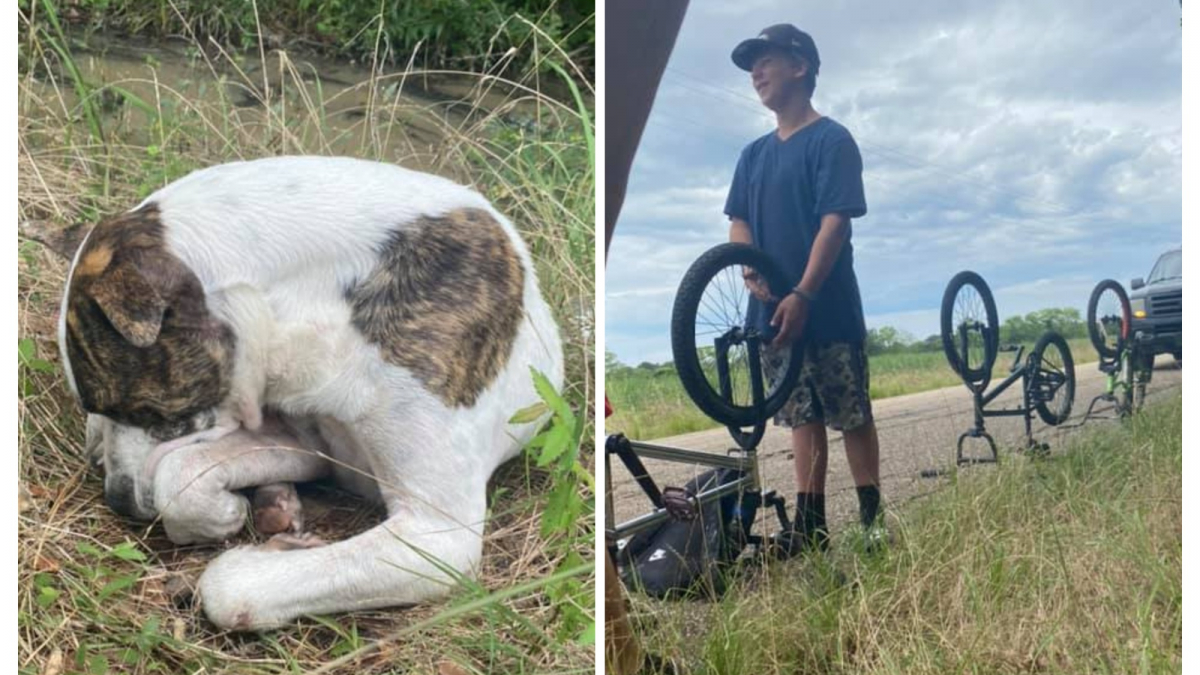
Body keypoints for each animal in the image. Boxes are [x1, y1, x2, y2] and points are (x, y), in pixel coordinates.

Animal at [41, 154, 561, 629]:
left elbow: (230, 588)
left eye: (146, 410)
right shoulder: (305, 444)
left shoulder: (438, 534)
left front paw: (273, 554)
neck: (316, 301)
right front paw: (225, 513)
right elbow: (179, 476)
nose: (119, 502)